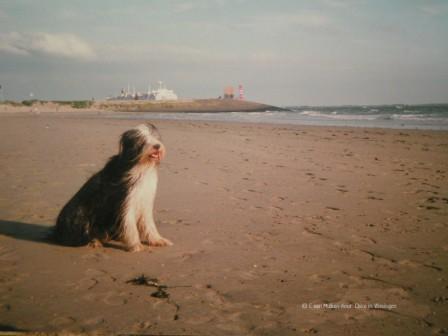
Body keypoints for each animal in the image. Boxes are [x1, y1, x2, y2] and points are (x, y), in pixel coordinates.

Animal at [53, 123, 172, 252]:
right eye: (142, 139)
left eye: (154, 136)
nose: (157, 146)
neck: (140, 164)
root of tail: (56, 232)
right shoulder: (124, 200)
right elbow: (129, 224)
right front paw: (136, 245)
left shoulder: (144, 200)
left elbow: (149, 224)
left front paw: (158, 240)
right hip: (80, 214)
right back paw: (94, 241)